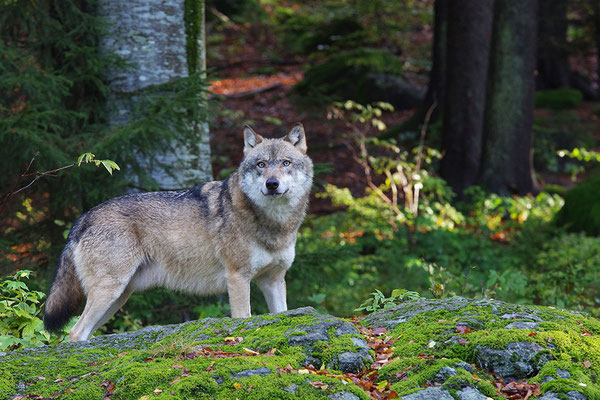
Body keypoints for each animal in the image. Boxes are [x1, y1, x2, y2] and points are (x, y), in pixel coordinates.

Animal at [43, 124, 314, 340]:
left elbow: (281, 313)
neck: (274, 223)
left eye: (286, 163)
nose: (272, 184)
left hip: (118, 298)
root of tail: (83, 218)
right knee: (75, 332)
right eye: (261, 165)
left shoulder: (273, 280)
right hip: (109, 292)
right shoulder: (238, 278)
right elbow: (243, 318)